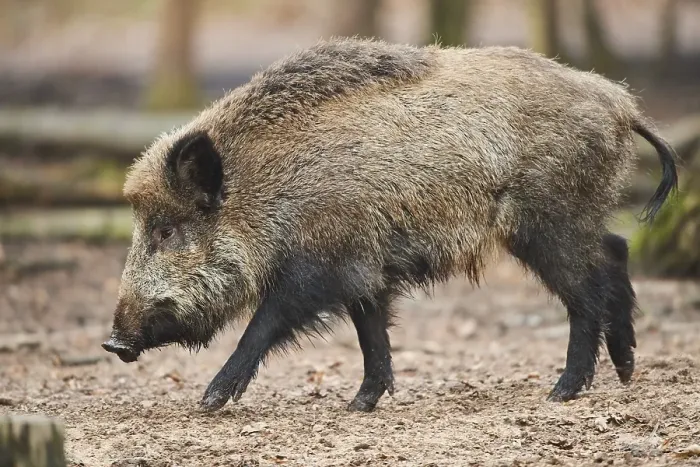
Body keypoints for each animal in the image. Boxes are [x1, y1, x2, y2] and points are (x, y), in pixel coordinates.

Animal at [102, 37, 678, 412]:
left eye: (166, 230)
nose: (112, 343)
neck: (267, 190)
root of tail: (621, 104)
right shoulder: (363, 267)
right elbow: (370, 330)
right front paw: (359, 404)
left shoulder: (320, 263)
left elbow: (263, 325)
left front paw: (209, 401)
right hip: (575, 216)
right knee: (617, 248)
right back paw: (625, 371)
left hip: (547, 223)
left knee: (585, 292)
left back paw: (562, 392)